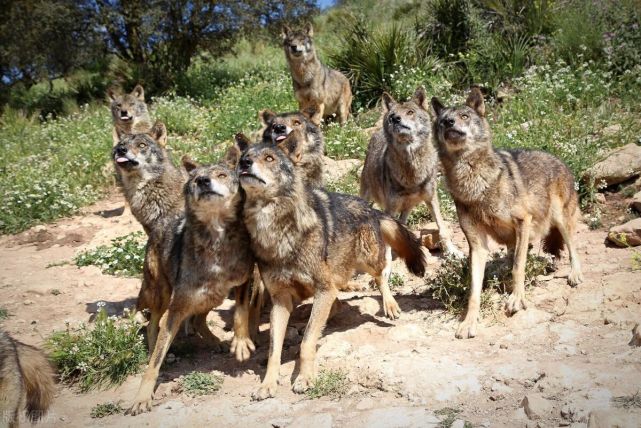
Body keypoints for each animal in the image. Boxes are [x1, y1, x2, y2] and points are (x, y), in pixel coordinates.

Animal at [126, 151, 254, 414]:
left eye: (221, 174)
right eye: (195, 179)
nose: (204, 181)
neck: (217, 242)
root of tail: (159, 224)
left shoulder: (244, 279)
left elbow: (241, 312)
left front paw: (240, 342)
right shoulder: (176, 308)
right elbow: (154, 363)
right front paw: (142, 397)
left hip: (213, 295)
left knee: (197, 319)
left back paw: (214, 341)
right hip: (163, 295)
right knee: (153, 324)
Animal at [235, 131, 424, 402]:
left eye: (269, 158)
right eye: (245, 156)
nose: (244, 163)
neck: (276, 232)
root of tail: (371, 209)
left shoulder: (323, 288)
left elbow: (305, 343)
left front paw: (305, 378)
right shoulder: (281, 300)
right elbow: (274, 350)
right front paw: (267, 384)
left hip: (366, 260)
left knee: (381, 275)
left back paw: (389, 306)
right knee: (336, 303)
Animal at [360, 85, 460, 256]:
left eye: (410, 112)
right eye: (392, 116)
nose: (395, 119)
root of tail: (377, 132)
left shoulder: (431, 198)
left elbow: (442, 227)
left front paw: (453, 251)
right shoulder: (390, 208)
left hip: (408, 207)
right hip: (368, 197)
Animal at [432, 88, 584, 340]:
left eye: (464, 116)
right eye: (443, 121)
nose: (449, 123)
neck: (474, 183)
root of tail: (559, 159)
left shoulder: (523, 221)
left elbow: (518, 267)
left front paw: (517, 299)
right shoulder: (477, 244)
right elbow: (474, 290)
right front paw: (469, 322)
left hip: (559, 220)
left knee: (572, 248)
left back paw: (575, 274)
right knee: (513, 253)